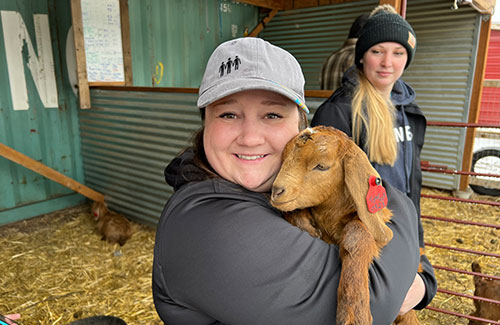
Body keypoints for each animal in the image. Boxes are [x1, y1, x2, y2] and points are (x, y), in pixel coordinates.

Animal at [272, 126, 420, 324]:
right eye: (284, 159)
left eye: (321, 166)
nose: (276, 191)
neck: (329, 216)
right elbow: (294, 212)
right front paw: (309, 228)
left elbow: (357, 234)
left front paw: (354, 313)